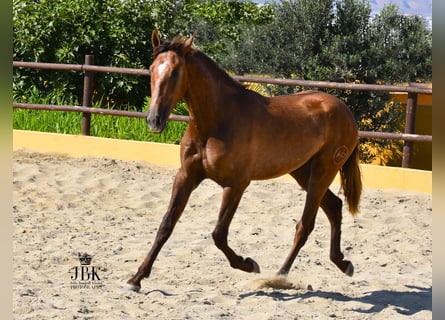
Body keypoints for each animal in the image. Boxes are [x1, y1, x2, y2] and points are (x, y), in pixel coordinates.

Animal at [123, 30, 360, 292]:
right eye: (151, 68)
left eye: (175, 72)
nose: (154, 120)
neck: (217, 121)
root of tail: (346, 111)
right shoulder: (186, 176)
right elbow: (166, 225)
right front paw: (136, 279)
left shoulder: (235, 185)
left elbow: (218, 234)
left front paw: (249, 264)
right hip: (302, 172)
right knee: (334, 206)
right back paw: (343, 264)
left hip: (322, 171)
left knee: (305, 225)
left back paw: (279, 276)